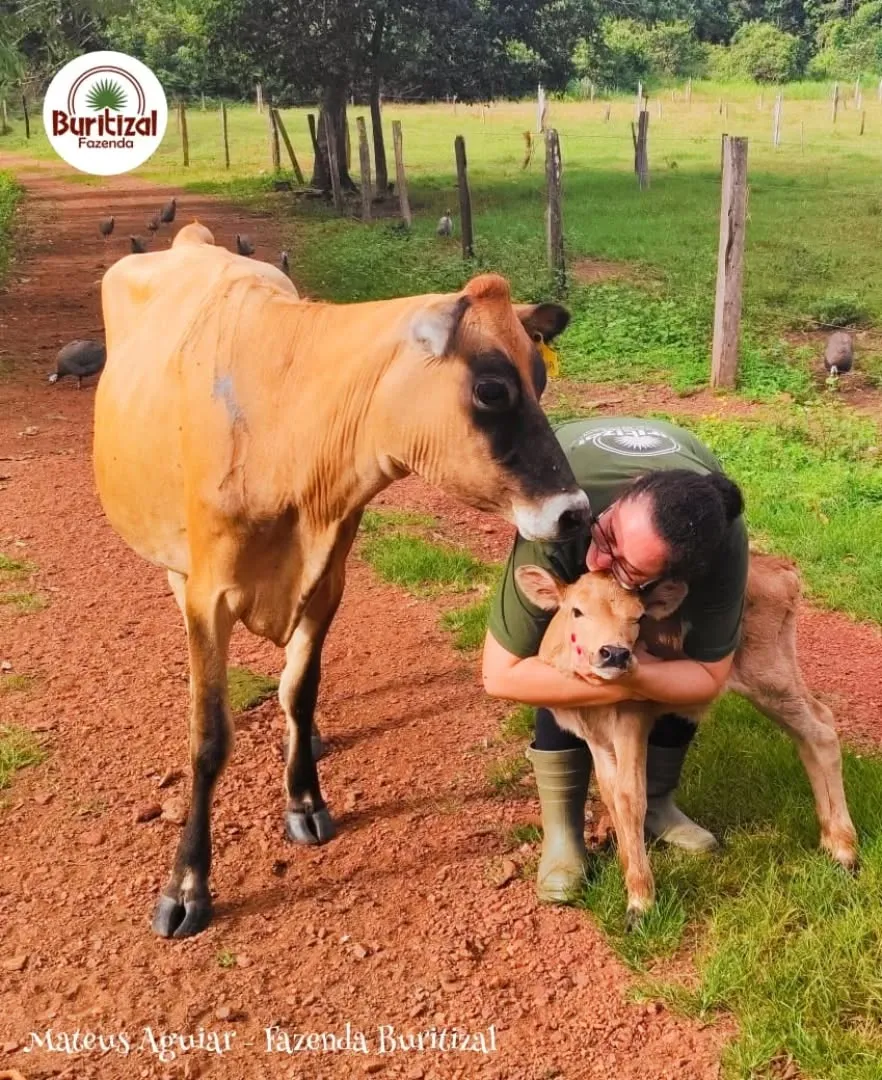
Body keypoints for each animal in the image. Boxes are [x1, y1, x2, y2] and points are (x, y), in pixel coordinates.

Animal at [93, 223, 591, 938]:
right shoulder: (209, 595)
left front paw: (303, 795)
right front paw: (186, 884)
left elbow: (301, 691)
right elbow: (209, 737)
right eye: (493, 390)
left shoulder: (329, 577)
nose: (574, 511)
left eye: (543, 377)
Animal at [515, 552, 859, 927]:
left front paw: (640, 902)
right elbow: (609, 793)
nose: (615, 653)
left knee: (821, 731)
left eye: (638, 617)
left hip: (769, 674)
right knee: (811, 730)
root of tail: (781, 568)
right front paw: (625, 866)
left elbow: (629, 796)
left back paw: (845, 849)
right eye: (576, 610)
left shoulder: (631, 717)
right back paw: (829, 838)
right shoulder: (594, 733)